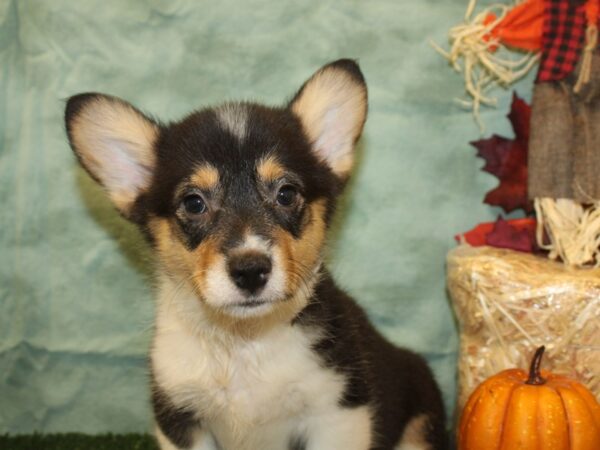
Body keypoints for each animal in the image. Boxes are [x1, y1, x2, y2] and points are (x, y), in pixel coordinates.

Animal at [67, 59, 446, 450]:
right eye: (193, 203)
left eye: (286, 194)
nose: (250, 271)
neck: (243, 342)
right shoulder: (181, 420)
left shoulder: (337, 413)